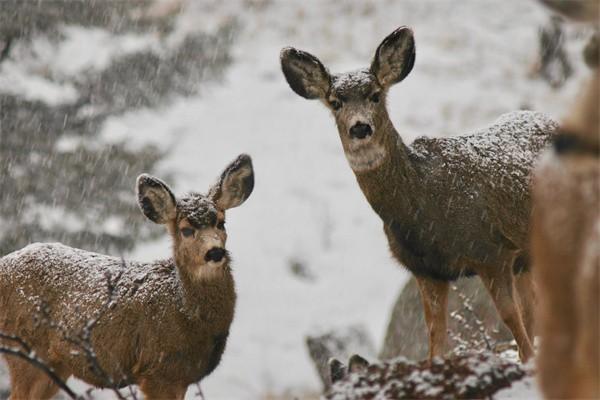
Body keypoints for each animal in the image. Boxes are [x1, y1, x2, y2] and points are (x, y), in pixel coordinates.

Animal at [0, 154, 253, 400]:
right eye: (186, 230)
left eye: (221, 222)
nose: (215, 252)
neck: (184, 311)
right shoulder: (158, 371)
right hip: (25, 347)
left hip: (53, 364)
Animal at [282, 25, 556, 362]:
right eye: (335, 102)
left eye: (375, 95)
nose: (360, 128)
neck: (424, 203)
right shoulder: (425, 269)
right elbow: (435, 336)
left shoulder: (491, 250)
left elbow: (509, 316)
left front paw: (527, 360)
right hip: (528, 255)